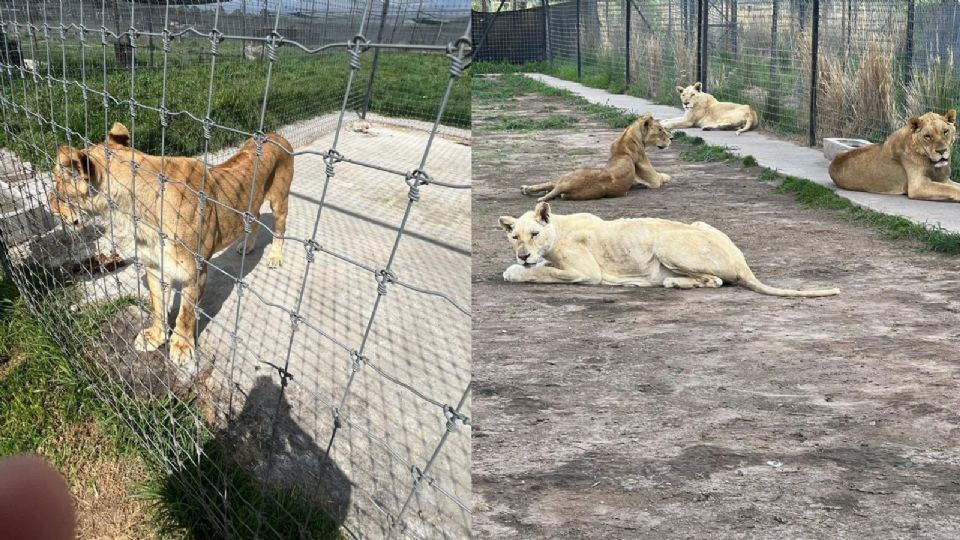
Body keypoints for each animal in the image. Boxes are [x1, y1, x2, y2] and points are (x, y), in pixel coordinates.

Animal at [48, 123, 294, 362]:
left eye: (57, 186)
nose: (50, 207)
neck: (134, 211)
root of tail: (276, 135)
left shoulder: (194, 273)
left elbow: (186, 313)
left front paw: (182, 346)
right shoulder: (155, 266)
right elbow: (157, 305)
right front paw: (155, 336)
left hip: (280, 200)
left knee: (280, 229)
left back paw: (275, 257)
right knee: (255, 217)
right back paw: (247, 247)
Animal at [502, 201, 840, 298]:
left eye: (534, 234)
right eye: (514, 237)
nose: (523, 254)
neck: (557, 228)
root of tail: (742, 262)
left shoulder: (587, 273)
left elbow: (542, 273)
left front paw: (517, 270)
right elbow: (544, 269)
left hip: (664, 242)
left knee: (715, 280)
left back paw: (670, 282)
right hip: (699, 222)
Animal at [520, 113, 672, 201]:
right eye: (660, 129)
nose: (672, 138)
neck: (626, 138)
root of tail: (565, 186)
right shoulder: (653, 180)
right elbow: (663, 176)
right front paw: (668, 176)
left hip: (563, 181)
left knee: (549, 185)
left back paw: (526, 189)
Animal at [828, 109, 956, 200]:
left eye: (945, 131)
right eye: (927, 136)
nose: (941, 151)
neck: (932, 164)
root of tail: (833, 162)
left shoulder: (944, 180)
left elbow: (953, 186)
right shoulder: (918, 186)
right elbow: (950, 189)